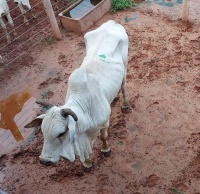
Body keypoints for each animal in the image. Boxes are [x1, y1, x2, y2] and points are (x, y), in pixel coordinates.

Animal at [24, 20, 130, 170]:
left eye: (61, 133)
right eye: (43, 131)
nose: (44, 161)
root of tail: (111, 23)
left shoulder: (104, 123)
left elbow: (103, 137)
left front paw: (105, 149)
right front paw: (87, 162)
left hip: (125, 66)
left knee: (124, 86)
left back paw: (125, 104)